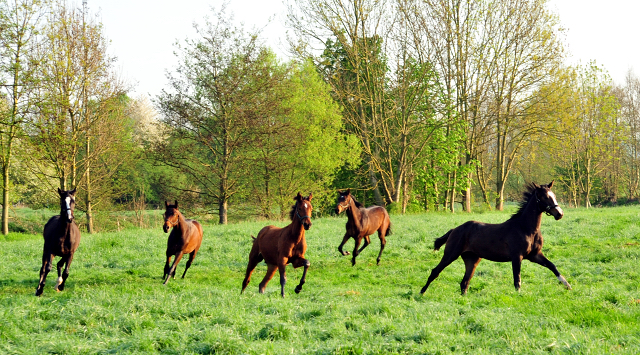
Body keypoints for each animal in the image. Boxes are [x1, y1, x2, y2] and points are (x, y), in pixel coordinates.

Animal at [422, 182, 572, 296]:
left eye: (554, 196)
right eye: (545, 197)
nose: (560, 214)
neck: (525, 228)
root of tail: (455, 229)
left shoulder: (535, 255)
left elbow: (552, 266)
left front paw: (567, 285)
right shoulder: (517, 256)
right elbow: (517, 279)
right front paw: (519, 296)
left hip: (472, 259)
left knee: (464, 282)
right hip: (451, 254)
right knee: (435, 271)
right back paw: (421, 293)